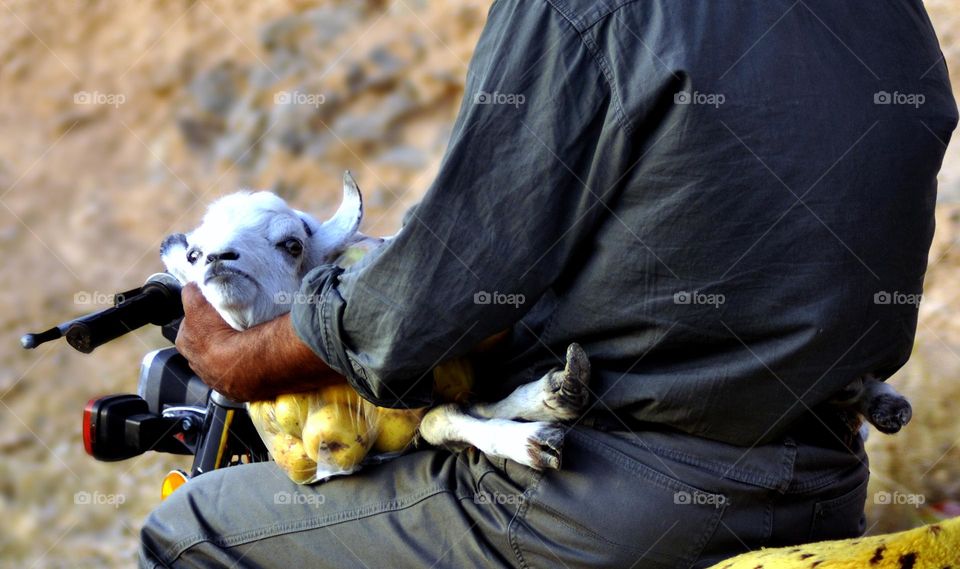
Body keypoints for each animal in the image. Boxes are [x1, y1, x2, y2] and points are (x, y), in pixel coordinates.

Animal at [160, 172, 590, 473]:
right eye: (194, 255)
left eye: (291, 244)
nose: (218, 259)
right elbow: (454, 412)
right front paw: (544, 410)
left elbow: (444, 415)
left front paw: (537, 429)